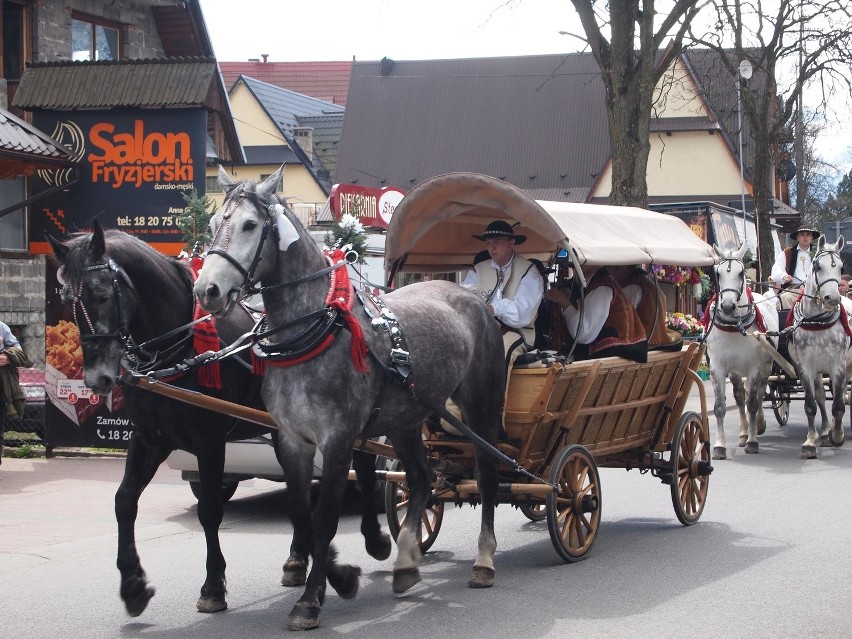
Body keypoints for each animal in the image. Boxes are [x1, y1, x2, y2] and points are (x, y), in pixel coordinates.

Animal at [50, 226, 390, 620]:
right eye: (66, 300)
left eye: (103, 295)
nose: (98, 379)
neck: (179, 349)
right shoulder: (151, 438)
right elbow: (124, 501)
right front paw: (133, 585)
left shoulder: (209, 440)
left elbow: (211, 511)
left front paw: (213, 586)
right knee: (300, 493)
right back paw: (297, 560)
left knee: (364, 468)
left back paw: (374, 538)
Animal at [195, 168, 506, 632]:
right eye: (215, 224)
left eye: (250, 225)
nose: (207, 290)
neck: (312, 333)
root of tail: (475, 298)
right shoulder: (292, 440)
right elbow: (302, 513)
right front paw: (337, 575)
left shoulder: (338, 440)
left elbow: (324, 518)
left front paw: (311, 599)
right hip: (405, 418)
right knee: (420, 479)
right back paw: (406, 563)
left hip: (480, 407)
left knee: (486, 477)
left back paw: (484, 560)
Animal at [704, 245, 780, 460]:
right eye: (718, 273)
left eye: (741, 272)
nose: (728, 306)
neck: (734, 326)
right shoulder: (718, 367)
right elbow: (720, 406)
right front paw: (719, 446)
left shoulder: (754, 367)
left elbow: (752, 403)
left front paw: (752, 442)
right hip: (736, 371)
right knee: (739, 396)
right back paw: (744, 432)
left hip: (766, 366)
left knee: (760, 394)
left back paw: (757, 426)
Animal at [788, 238, 848, 458]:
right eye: (817, 266)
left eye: (841, 267)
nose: (833, 299)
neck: (818, 321)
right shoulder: (805, 366)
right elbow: (810, 404)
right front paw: (810, 441)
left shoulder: (838, 365)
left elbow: (838, 405)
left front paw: (837, 435)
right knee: (821, 396)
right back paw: (824, 432)